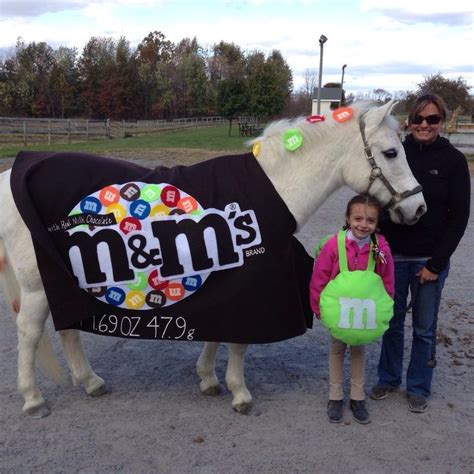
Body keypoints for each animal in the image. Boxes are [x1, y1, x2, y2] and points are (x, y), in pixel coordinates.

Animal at [0, 101, 426, 418]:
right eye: (391, 152)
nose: (419, 208)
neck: (273, 190)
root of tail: (12, 174)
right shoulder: (252, 282)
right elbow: (239, 342)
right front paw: (240, 393)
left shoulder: (228, 279)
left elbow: (220, 332)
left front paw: (208, 378)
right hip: (37, 287)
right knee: (30, 333)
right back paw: (34, 399)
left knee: (68, 329)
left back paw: (90, 382)